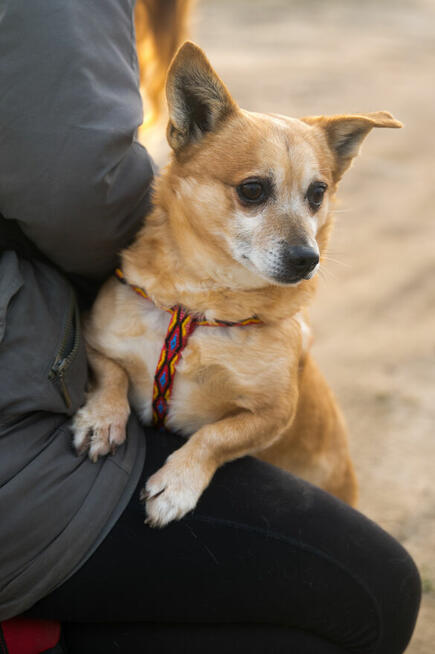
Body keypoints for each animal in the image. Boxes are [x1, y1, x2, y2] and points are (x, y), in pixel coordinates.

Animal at [72, 42, 402, 528]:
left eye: (317, 194)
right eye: (252, 190)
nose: (308, 259)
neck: (199, 305)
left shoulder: (273, 415)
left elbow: (216, 436)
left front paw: (178, 483)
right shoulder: (95, 341)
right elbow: (110, 375)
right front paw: (101, 420)